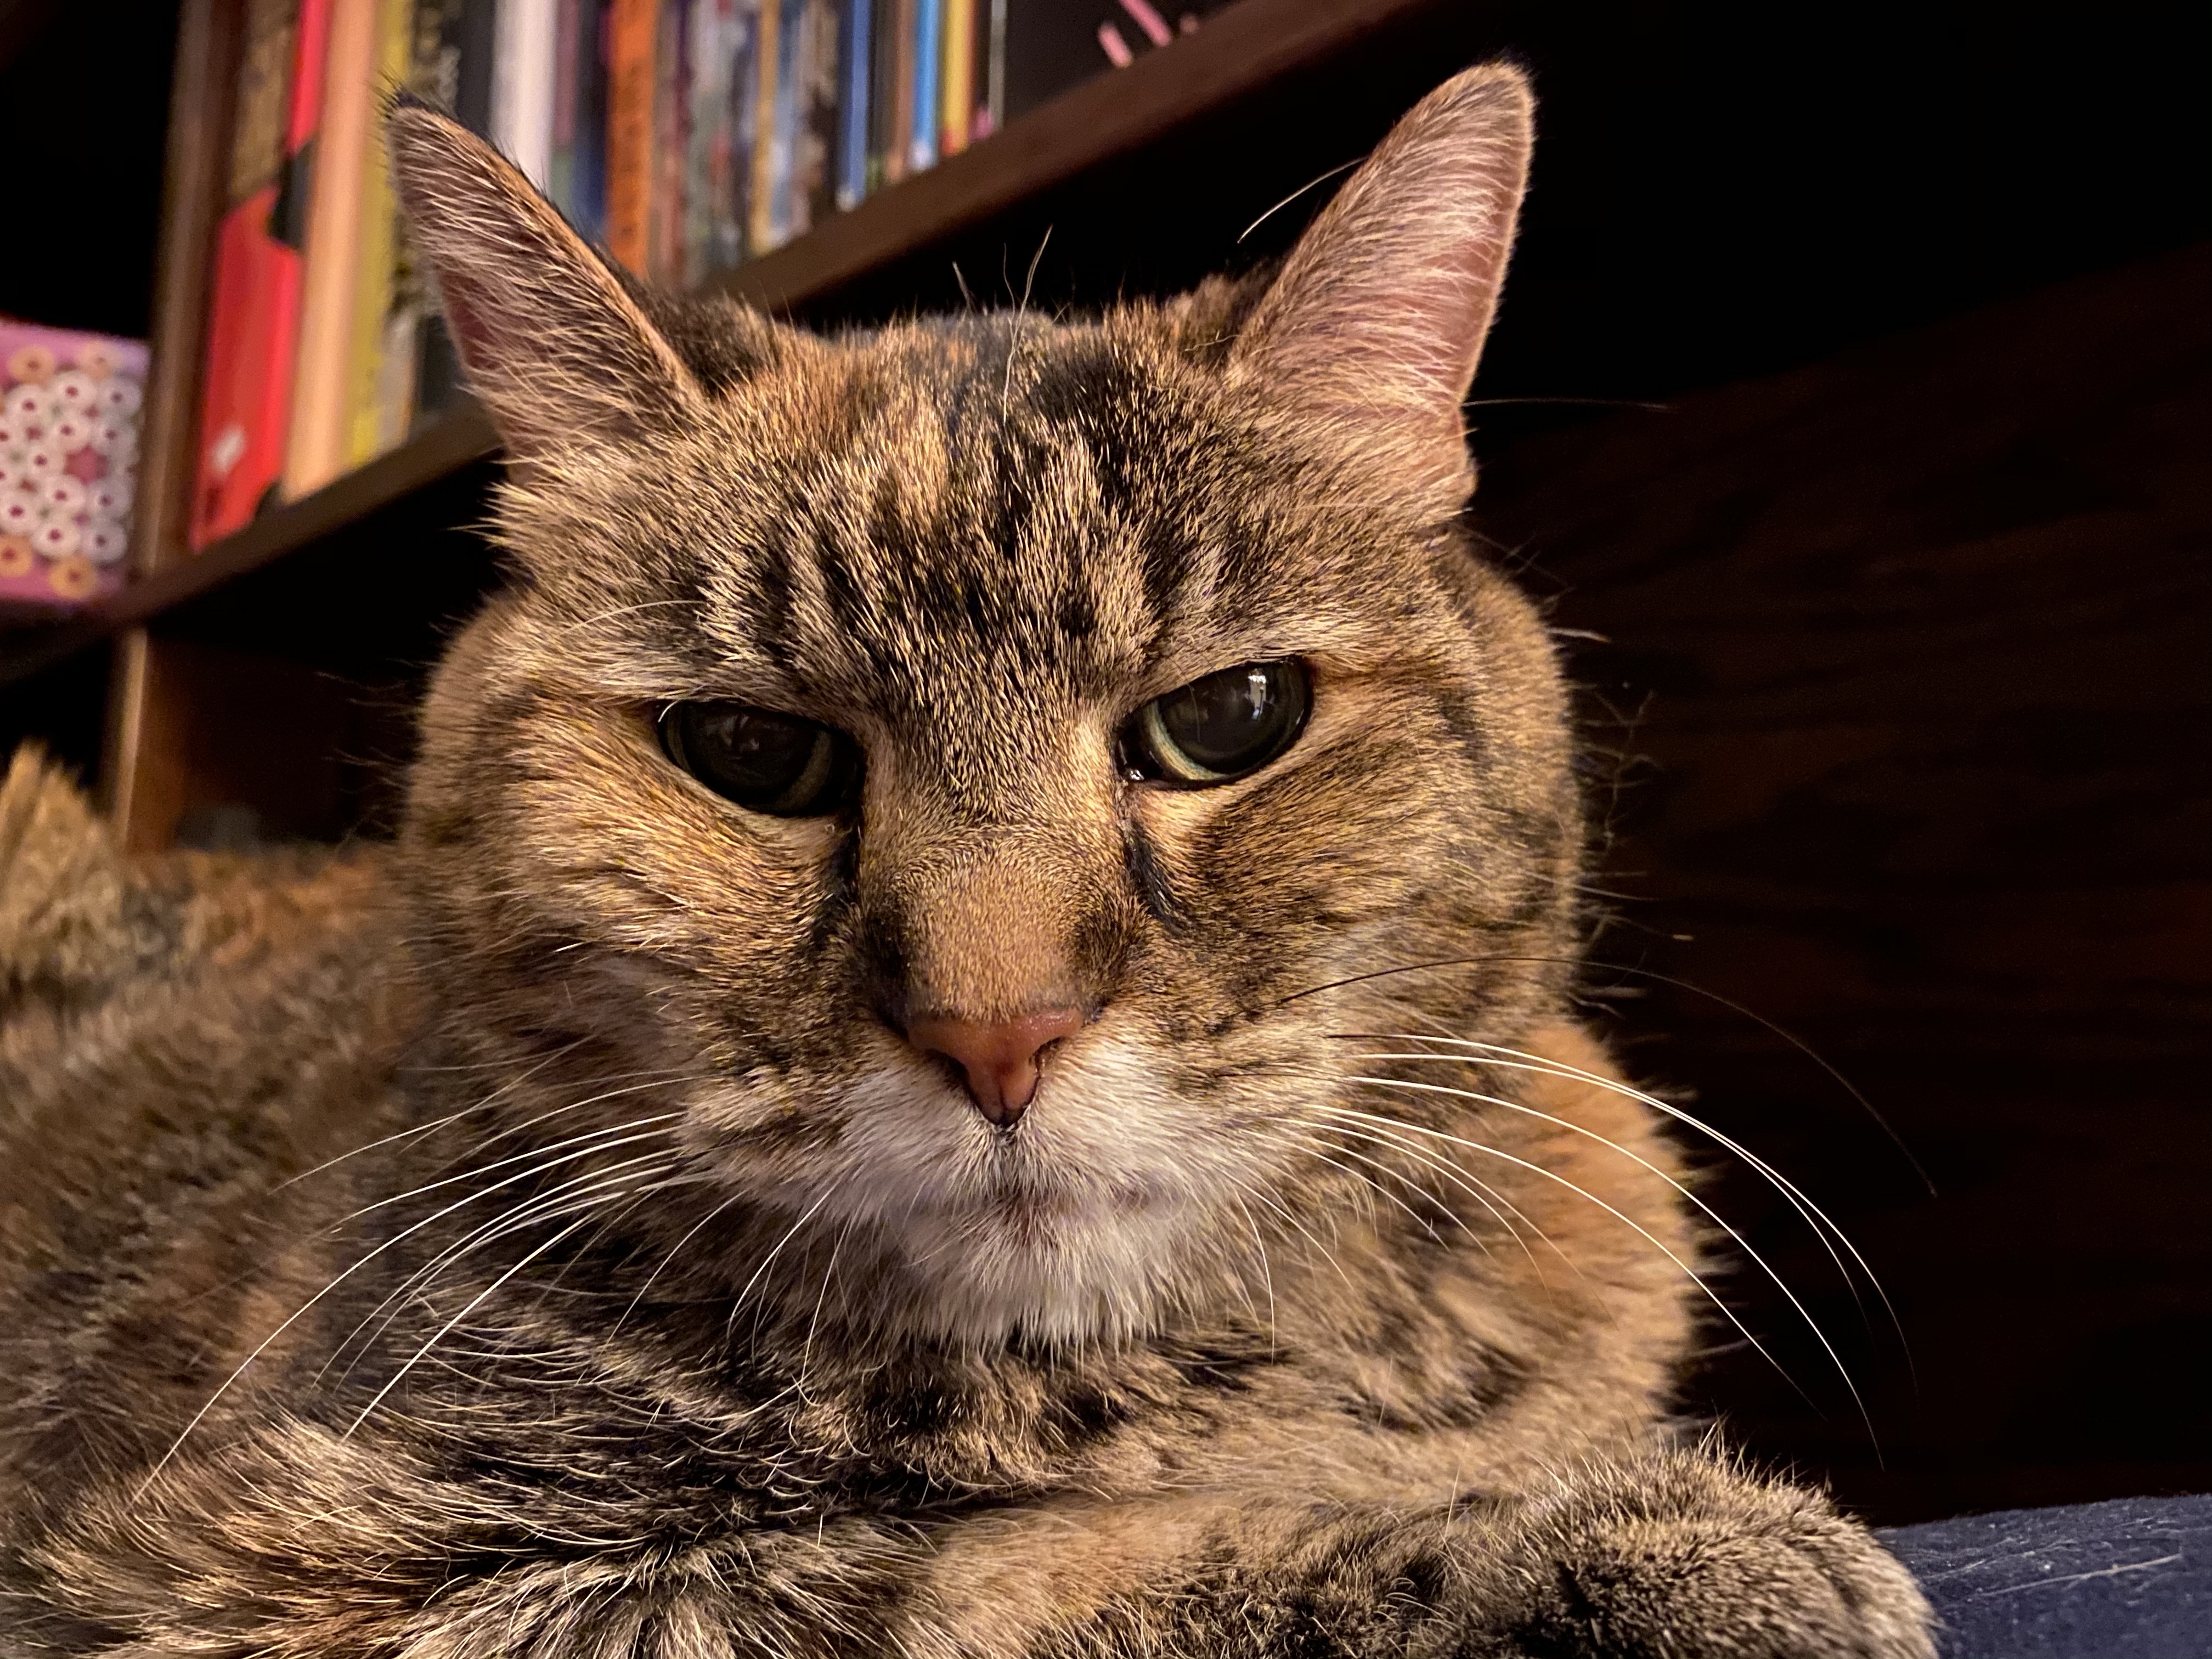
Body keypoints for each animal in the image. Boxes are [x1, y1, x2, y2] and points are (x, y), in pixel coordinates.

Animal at [0, 68, 1928, 1659]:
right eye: (752, 753)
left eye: (1229, 718)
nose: (999, 1032)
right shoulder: (248, 1586)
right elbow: (987, 1565)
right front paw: (1622, 1548)